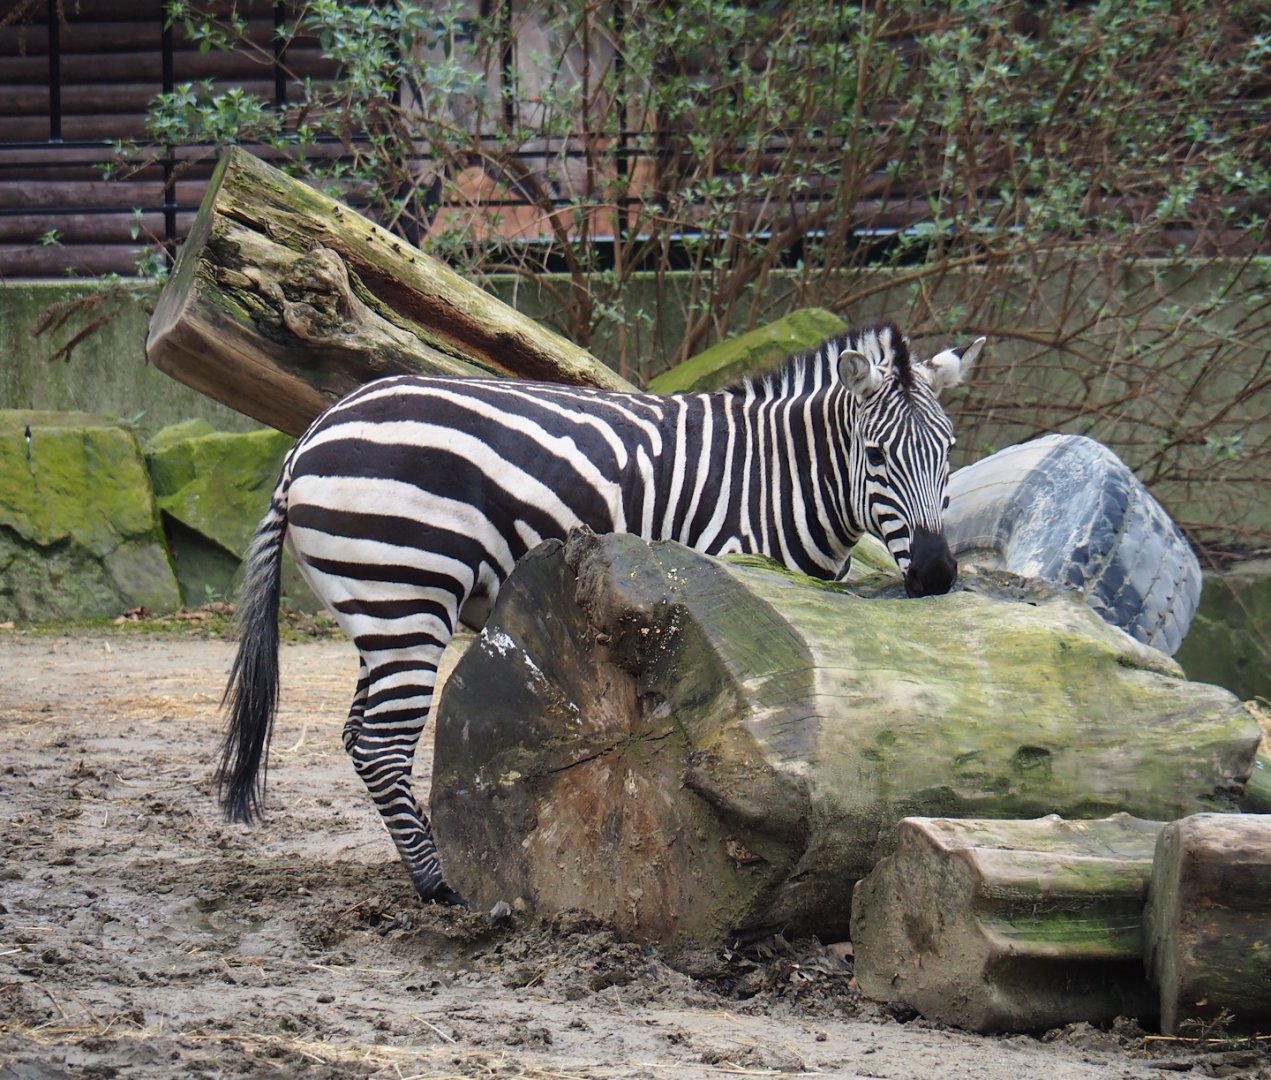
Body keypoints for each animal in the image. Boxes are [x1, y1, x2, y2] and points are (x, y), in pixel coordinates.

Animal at [217, 319, 985, 906]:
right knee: (380, 742)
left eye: (949, 452)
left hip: (375, 606)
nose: (936, 575)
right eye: (877, 455)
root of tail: (310, 436)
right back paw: (443, 888)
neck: (782, 478)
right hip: (409, 591)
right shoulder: (723, 579)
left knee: (358, 735)